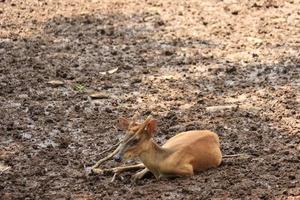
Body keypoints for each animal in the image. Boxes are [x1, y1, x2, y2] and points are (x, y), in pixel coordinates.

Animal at [91, 115, 223, 182]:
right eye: (124, 137)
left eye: (136, 140)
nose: (117, 157)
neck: (161, 161)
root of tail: (213, 134)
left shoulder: (188, 170)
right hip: (170, 140)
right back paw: (103, 170)